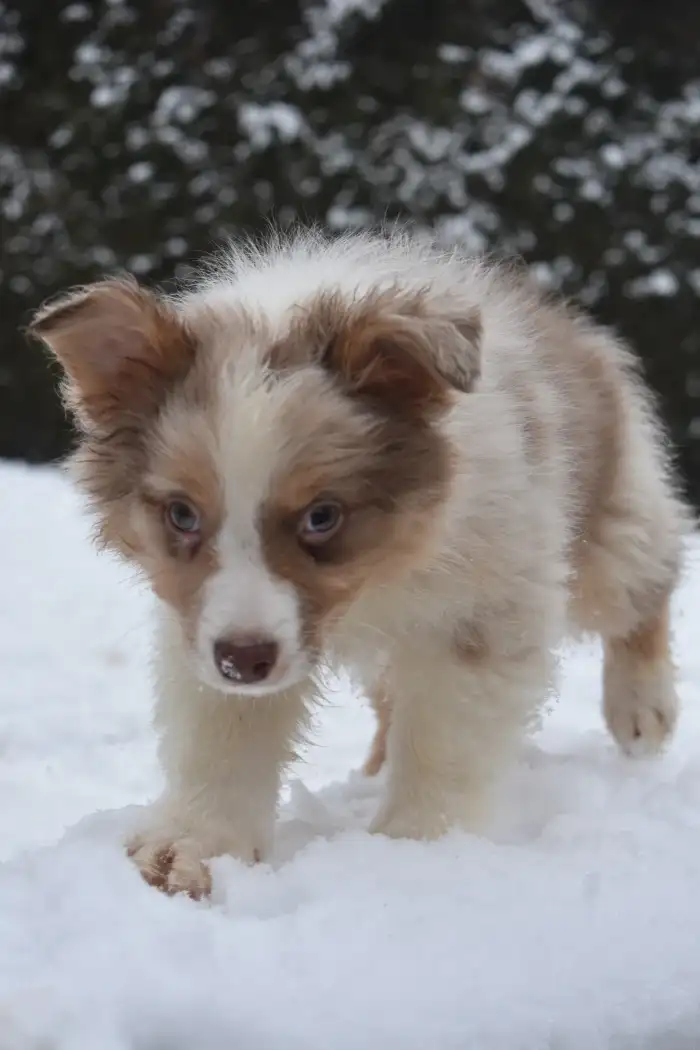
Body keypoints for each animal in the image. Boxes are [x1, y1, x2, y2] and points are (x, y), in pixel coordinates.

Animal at [30, 228, 689, 898]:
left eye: (322, 516)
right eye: (183, 515)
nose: (245, 662)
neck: (378, 580)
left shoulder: (483, 604)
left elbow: (446, 739)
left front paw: (416, 848)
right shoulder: (203, 618)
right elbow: (222, 731)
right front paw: (193, 846)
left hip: (605, 530)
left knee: (649, 577)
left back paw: (643, 710)